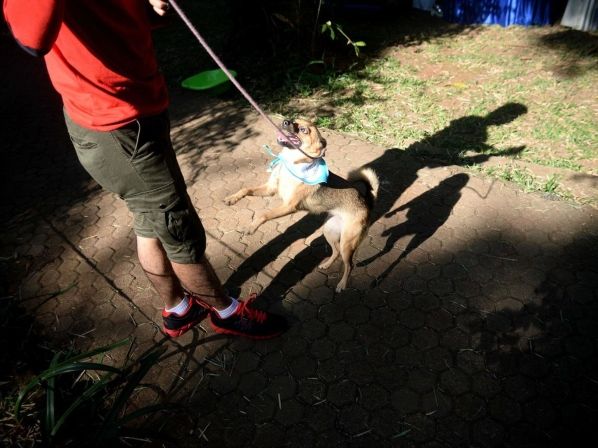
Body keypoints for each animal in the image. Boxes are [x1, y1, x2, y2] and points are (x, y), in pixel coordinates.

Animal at [224, 118, 379, 292]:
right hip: (330, 232)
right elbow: (246, 189)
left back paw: (342, 284)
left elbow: (263, 214)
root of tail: (367, 202)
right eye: (294, 120)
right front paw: (232, 198)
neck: (290, 163)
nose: (286, 121)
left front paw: (251, 227)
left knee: (350, 265)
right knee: (336, 252)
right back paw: (326, 265)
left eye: (304, 130)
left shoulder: (289, 206)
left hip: (348, 243)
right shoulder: (270, 189)